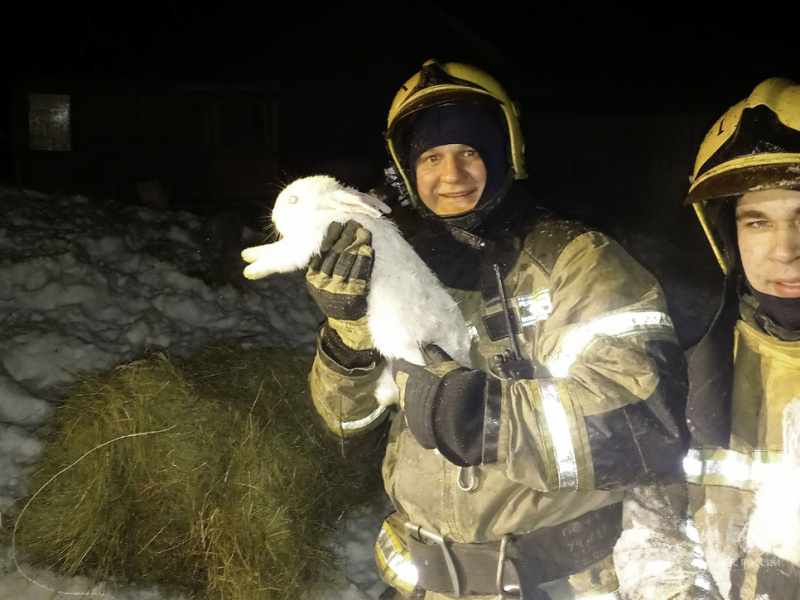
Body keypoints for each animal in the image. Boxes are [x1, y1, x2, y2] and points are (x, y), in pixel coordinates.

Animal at [241, 176, 472, 406]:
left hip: (397, 340)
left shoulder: (304, 245)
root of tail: (457, 349)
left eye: (293, 200)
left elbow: (278, 258)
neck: (330, 212)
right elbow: (272, 249)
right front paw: (248, 254)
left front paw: (250, 271)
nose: (274, 218)